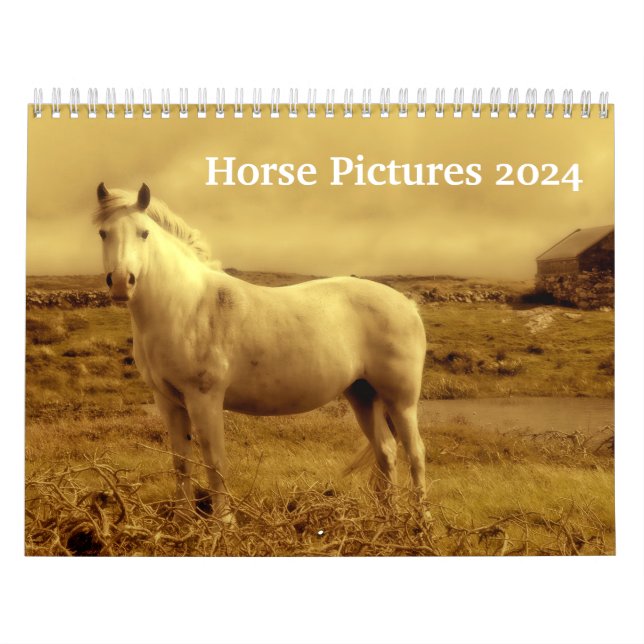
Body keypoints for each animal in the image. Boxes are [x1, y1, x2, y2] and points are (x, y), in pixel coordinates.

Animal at [94, 182, 427, 516]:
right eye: (103, 233)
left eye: (144, 233)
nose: (121, 282)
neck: (186, 305)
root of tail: (408, 304)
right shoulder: (168, 402)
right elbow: (181, 464)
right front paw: (185, 520)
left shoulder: (205, 399)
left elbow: (215, 462)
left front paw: (224, 522)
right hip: (363, 394)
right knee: (386, 450)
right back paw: (388, 516)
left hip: (401, 401)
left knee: (415, 452)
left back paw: (420, 519)